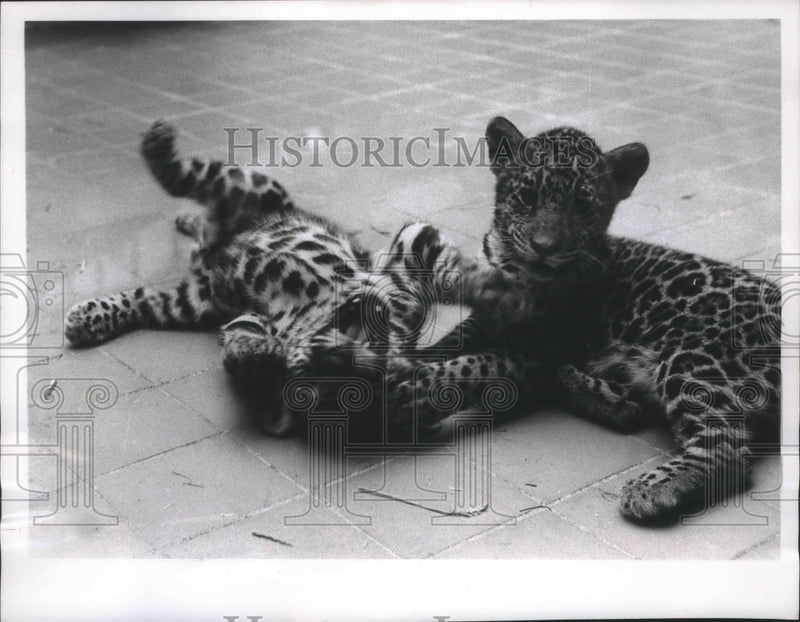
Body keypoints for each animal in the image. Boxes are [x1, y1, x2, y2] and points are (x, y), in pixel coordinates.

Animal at [63, 120, 497, 438]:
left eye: (329, 383)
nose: (342, 353)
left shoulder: (244, 316)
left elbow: (242, 347)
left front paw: (262, 358)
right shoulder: (404, 257)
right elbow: (444, 271)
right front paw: (495, 285)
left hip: (197, 299)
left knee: (148, 298)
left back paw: (87, 318)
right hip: (248, 189)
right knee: (191, 179)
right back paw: (161, 151)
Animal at [380, 116, 781, 524]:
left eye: (582, 206)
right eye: (528, 197)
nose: (545, 247)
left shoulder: (536, 346)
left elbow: (472, 366)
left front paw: (408, 390)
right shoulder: (485, 324)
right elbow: (450, 344)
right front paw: (412, 362)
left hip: (694, 353)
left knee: (728, 451)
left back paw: (650, 487)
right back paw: (609, 399)